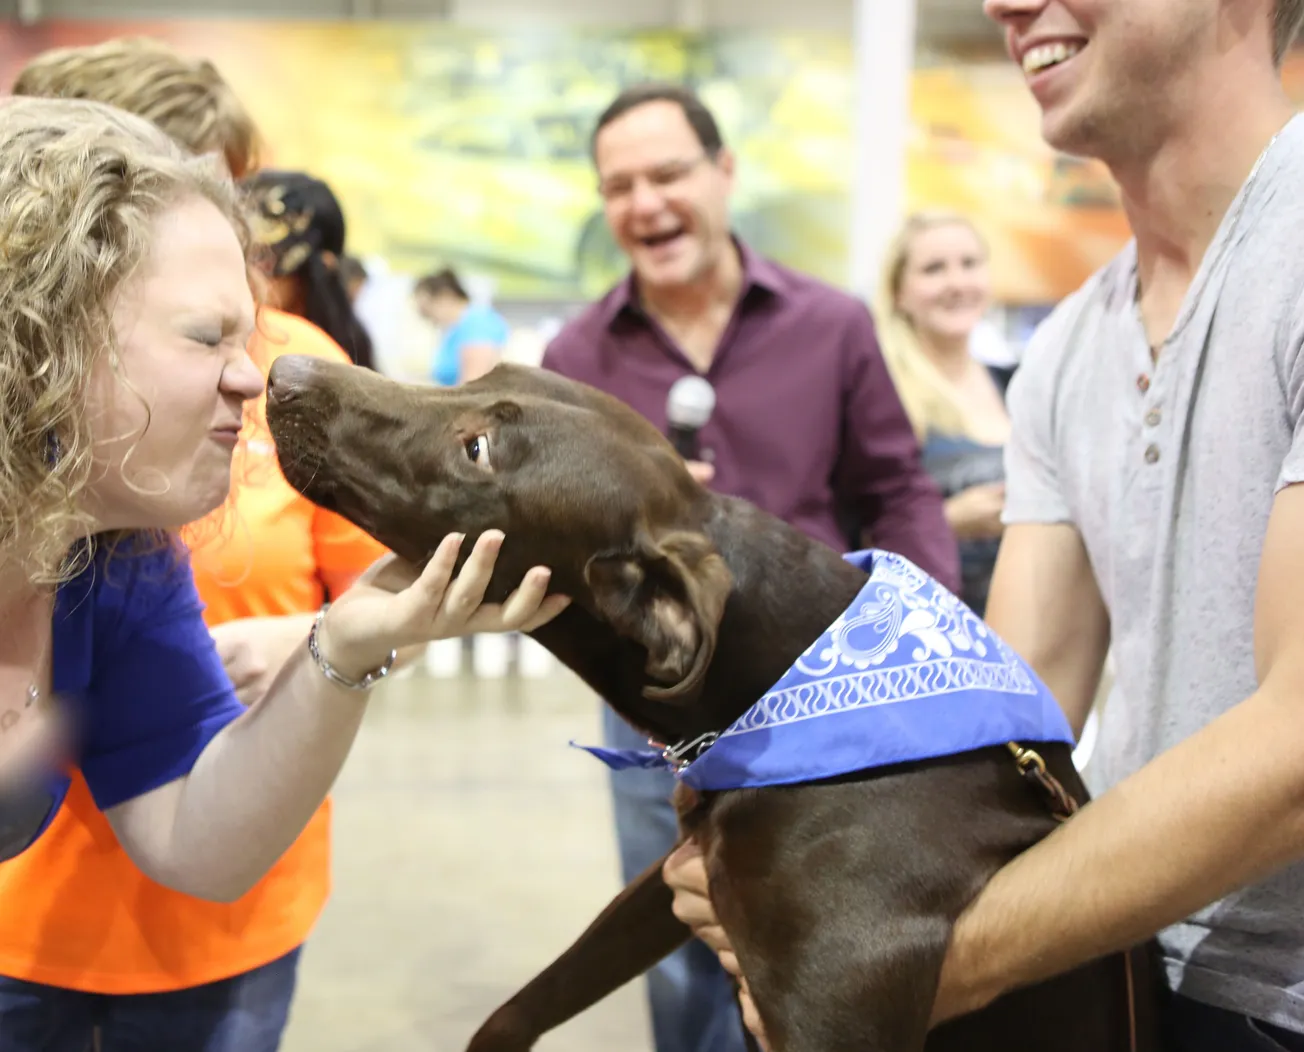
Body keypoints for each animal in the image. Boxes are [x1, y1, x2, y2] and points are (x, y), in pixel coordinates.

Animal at [264, 357, 1163, 1052]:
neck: (776, 676)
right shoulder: (677, 877)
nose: (284, 371)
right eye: (484, 378)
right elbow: (522, 1005)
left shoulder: (833, 1007)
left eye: (478, 448)